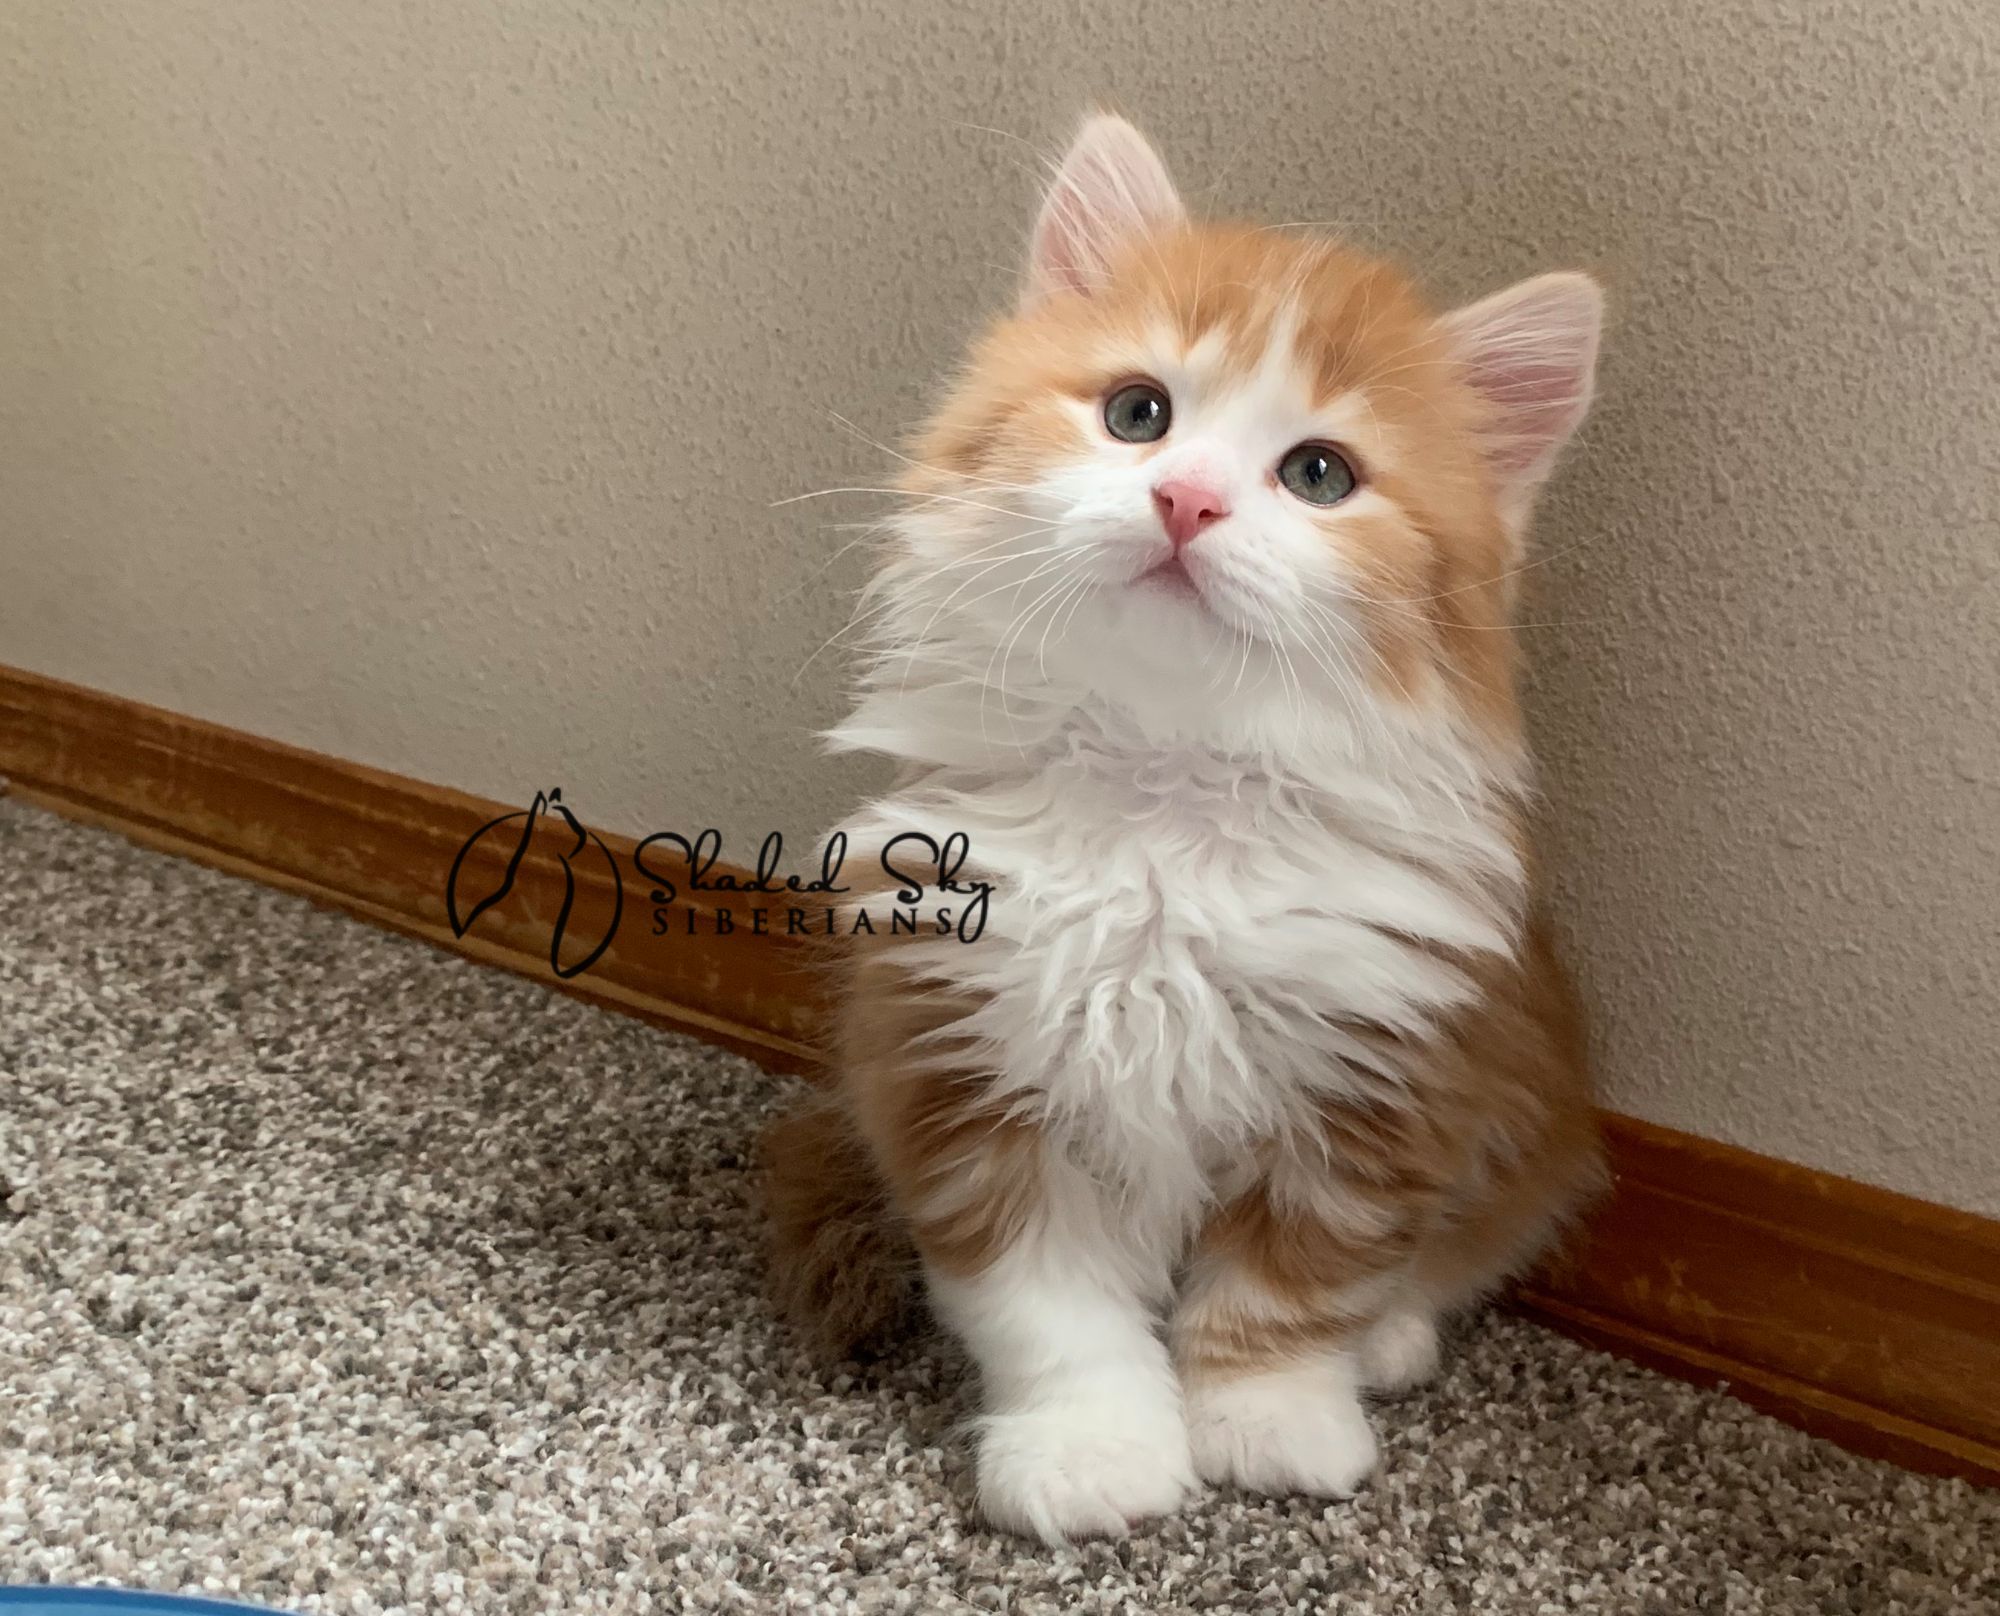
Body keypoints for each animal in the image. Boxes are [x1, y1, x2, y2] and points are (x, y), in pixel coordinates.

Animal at [763, 112, 1605, 1544]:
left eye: (1318, 474)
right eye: (1137, 414)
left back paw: (1392, 1340)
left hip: (1528, 1097)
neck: (1162, 791)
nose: (1187, 501)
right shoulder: (953, 1044)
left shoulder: (1378, 1070)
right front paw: (1090, 1449)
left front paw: (1269, 1423)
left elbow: (1290, 1287)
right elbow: (1045, 1305)